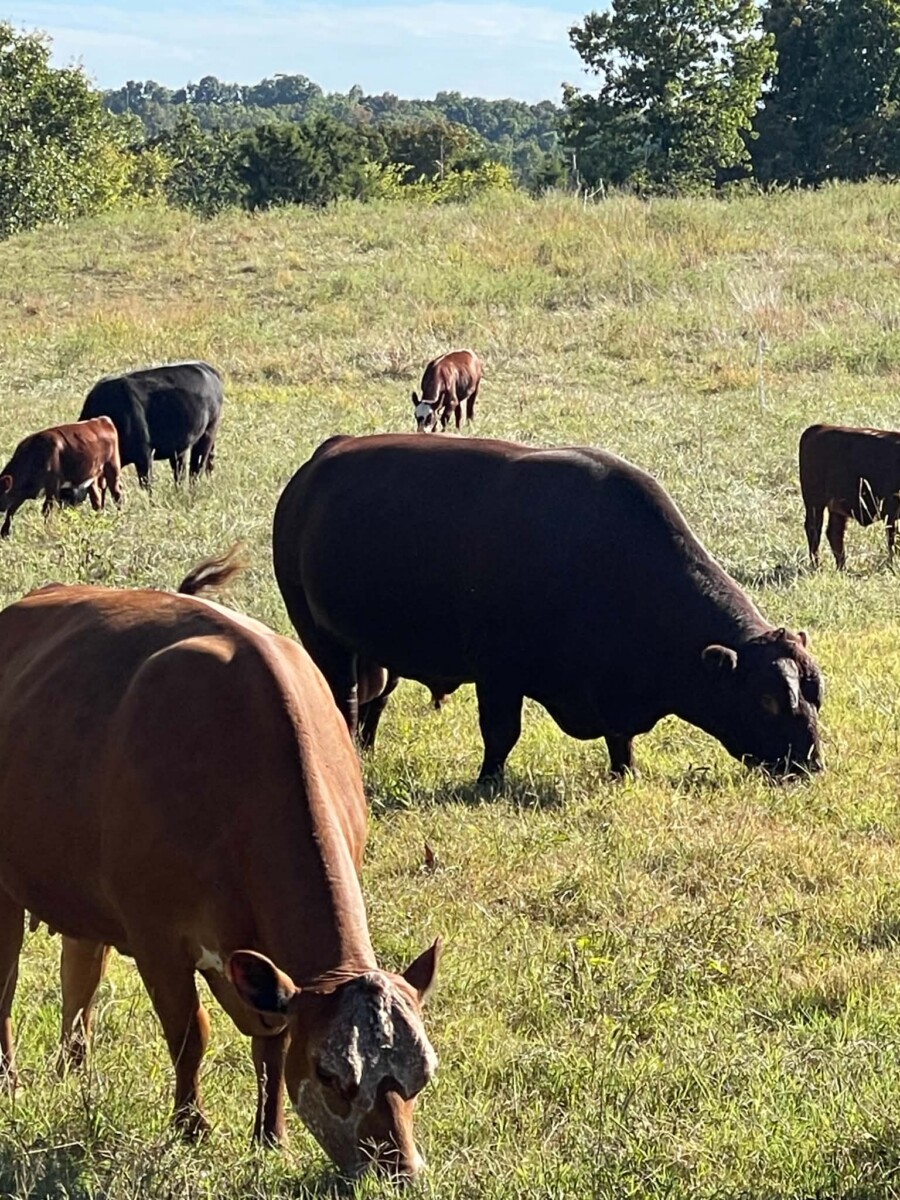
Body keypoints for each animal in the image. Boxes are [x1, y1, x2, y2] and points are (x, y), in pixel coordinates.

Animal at [0, 548, 440, 1180]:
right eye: (331, 1075)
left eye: (421, 1074)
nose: (400, 1169)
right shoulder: (157, 938)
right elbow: (190, 1033)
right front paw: (191, 1129)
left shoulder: (258, 966)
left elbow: (271, 1041)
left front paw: (270, 1135)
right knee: (5, 983)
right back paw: (10, 1081)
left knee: (79, 974)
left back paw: (74, 1074)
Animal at [79, 361, 223, 489]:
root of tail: (206, 367)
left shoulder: (144, 455)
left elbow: (146, 485)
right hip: (182, 447)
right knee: (186, 471)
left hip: (207, 434)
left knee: (196, 470)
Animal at [273, 435, 824, 782]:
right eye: (768, 699)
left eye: (815, 694)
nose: (810, 762)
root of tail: (320, 462)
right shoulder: (498, 674)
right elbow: (501, 733)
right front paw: (488, 782)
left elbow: (620, 741)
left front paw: (625, 772)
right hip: (323, 639)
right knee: (345, 700)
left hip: (376, 652)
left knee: (375, 700)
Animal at [799, 423, 900, 569]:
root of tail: (818, 427)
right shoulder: (891, 511)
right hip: (814, 502)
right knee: (814, 530)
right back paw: (817, 567)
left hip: (835, 507)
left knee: (834, 533)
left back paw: (842, 568)